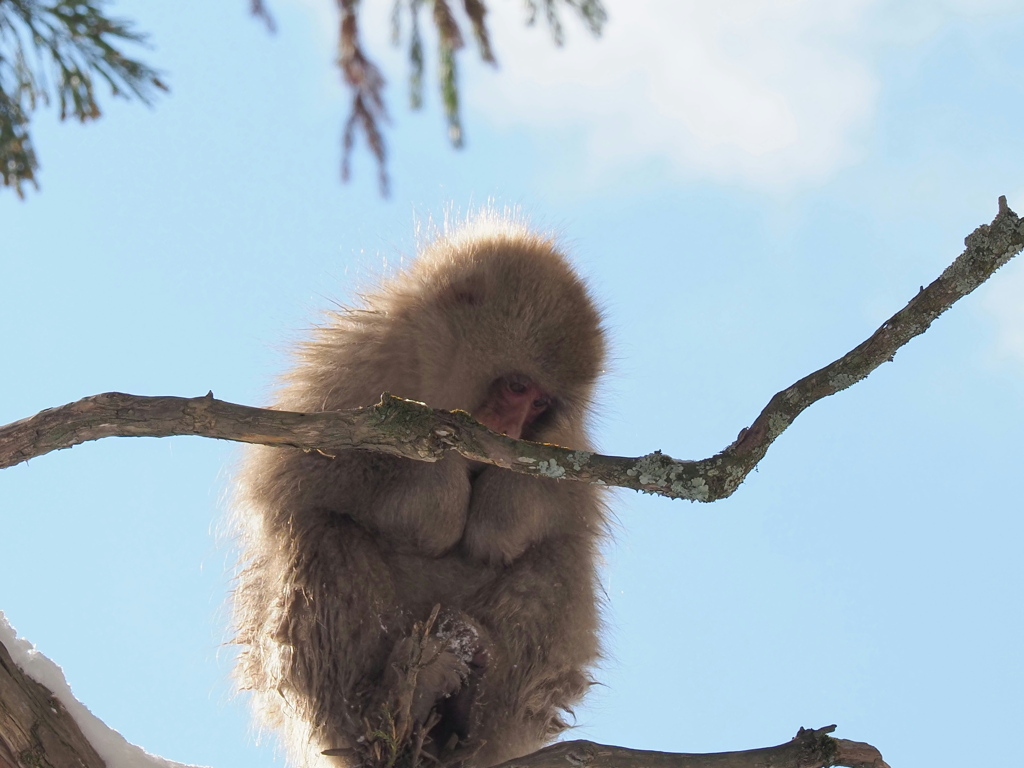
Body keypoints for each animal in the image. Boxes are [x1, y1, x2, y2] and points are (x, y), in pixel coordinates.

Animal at [232, 215, 606, 768]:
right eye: (517, 388)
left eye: (540, 404)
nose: (512, 427)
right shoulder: (356, 366)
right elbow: (298, 472)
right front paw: (442, 471)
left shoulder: (561, 441)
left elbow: (548, 515)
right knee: (321, 533)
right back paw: (377, 712)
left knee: (558, 560)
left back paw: (472, 709)